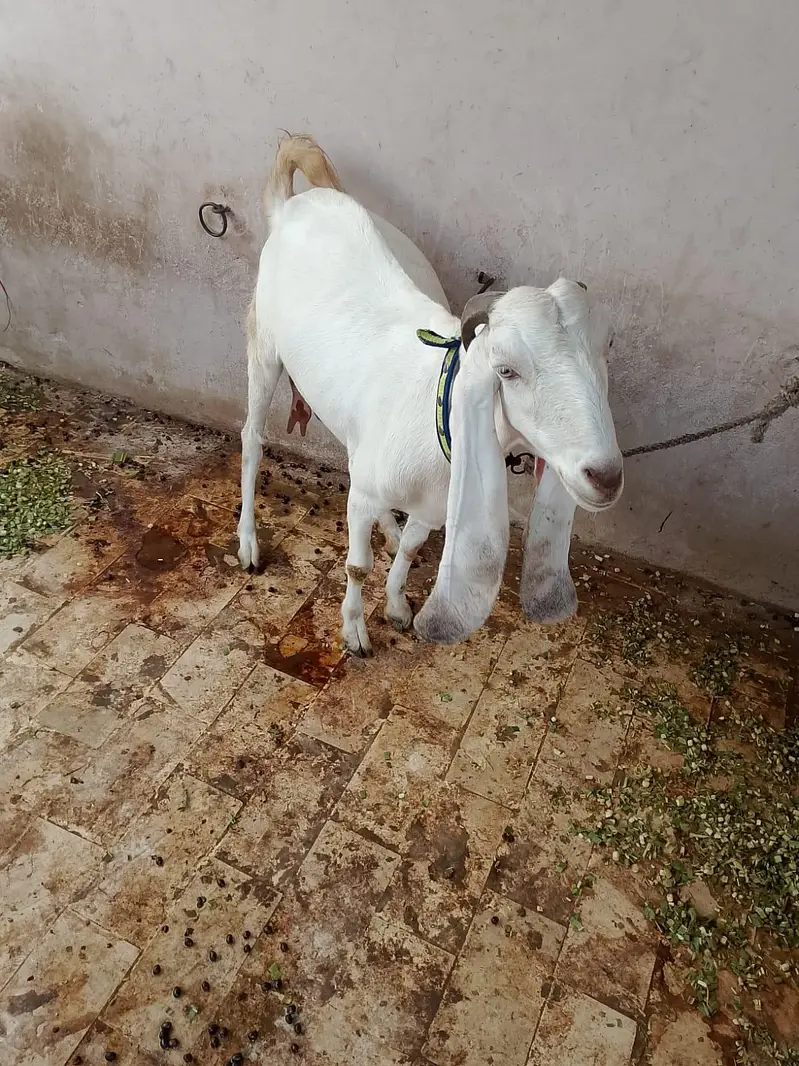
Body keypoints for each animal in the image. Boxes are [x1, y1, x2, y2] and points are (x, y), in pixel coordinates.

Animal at [238, 135, 623, 654]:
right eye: (506, 370)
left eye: (605, 349)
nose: (604, 476)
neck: (435, 413)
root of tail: (295, 204)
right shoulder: (362, 495)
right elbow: (356, 564)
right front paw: (355, 631)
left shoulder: (434, 506)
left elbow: (409, 549)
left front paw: (398, 606)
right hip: (264, 347)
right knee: (252, 439)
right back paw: (248, 543)